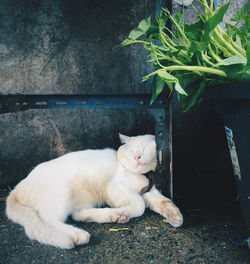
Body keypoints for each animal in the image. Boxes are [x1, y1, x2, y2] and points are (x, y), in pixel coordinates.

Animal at [5, 134, 182, 250]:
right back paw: (79, 234)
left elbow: (165, 202)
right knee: (49, 219)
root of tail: (19, 187)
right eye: (132, 151)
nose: (137, 157)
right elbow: (139, 206)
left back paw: (112, 215)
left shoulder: (151, 193)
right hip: (63, 190)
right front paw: (125, 211)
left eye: (143, 149)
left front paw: (175, 216)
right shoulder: (114, 186)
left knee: (77, 214)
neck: (144, 175)